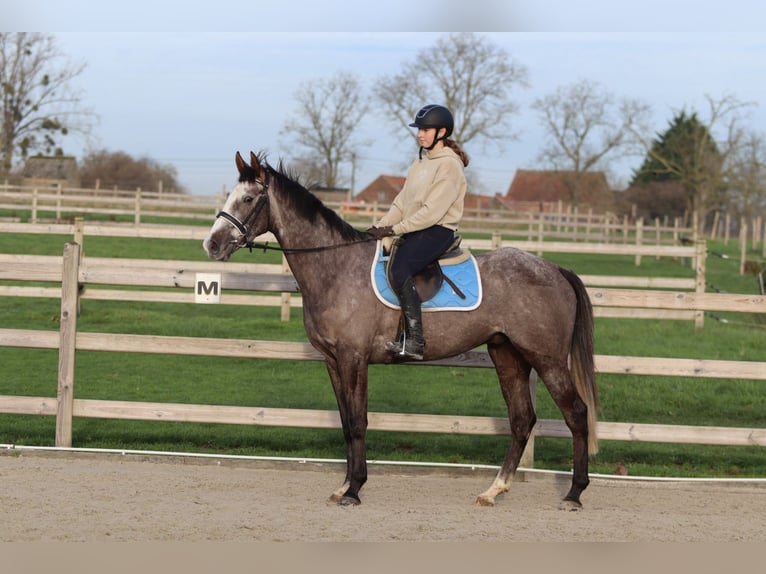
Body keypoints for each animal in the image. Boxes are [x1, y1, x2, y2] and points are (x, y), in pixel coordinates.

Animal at [203, 151, 600, 510]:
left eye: (248, 199)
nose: (212, 244)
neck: (336, 267)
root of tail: (554, 269)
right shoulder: (332, 360)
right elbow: (346, 422)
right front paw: (343, 486)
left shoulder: (354, 358)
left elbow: (358, 421)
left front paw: (354, 490)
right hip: (508, 355)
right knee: (521, 420)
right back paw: (493, 490)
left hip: (546, 358)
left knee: (577, 414)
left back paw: (574, 493)